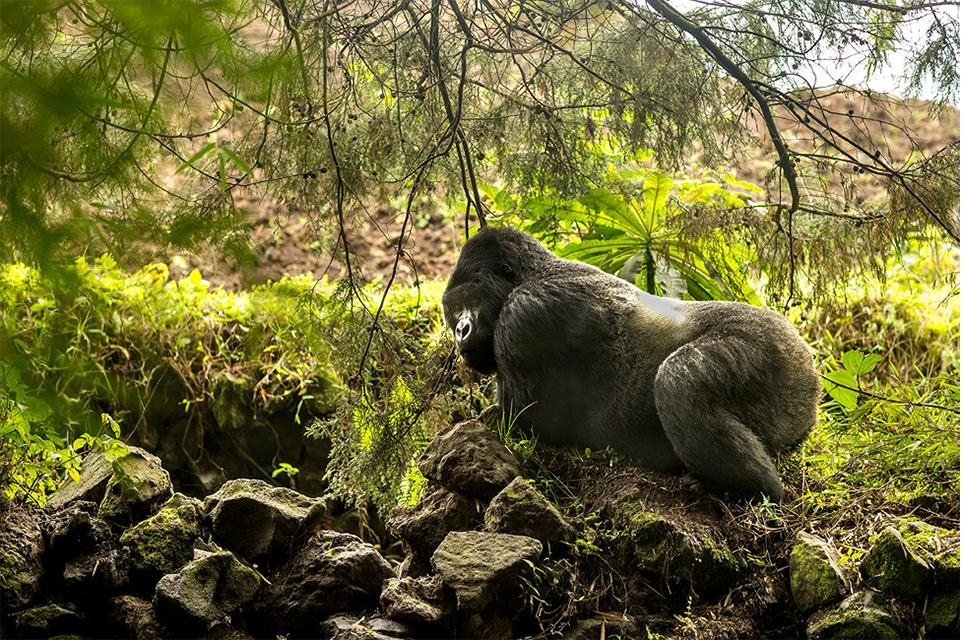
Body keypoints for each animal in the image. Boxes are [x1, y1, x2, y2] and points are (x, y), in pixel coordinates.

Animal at [441, 227, 822, 501]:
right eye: (454, 309)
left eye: (472, 300)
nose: (461, 330)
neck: (532, 273)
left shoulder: (525, 315)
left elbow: (523, 422)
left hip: (777, 350)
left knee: (678, 380)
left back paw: (749, 488)